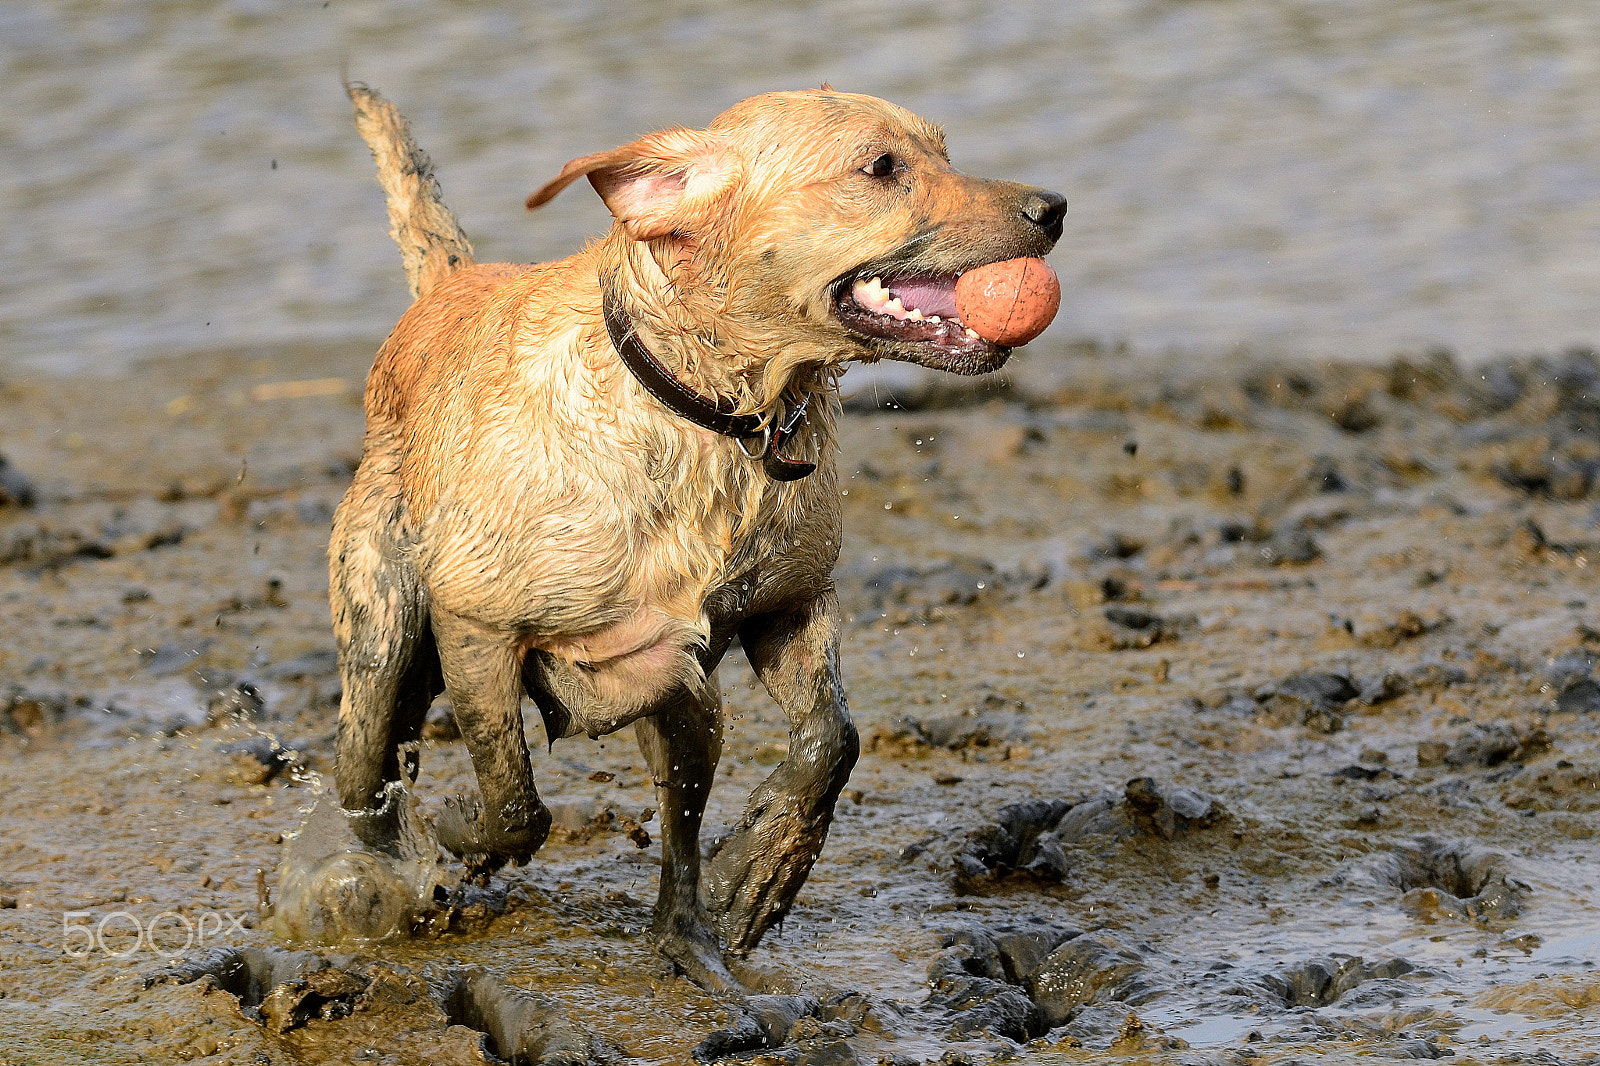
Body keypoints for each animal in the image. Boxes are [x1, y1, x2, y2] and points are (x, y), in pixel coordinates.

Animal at [332, 83, 1062, 985]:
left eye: (944, 151)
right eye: (881, 167)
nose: (1053, 207)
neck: (710, 413)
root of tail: (445, 288)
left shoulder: (790, 604)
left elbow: (832, 739)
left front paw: (762, 869)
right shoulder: (477, 625)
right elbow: (513, 799)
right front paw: (457, 828)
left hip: (690, 708)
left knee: (679, 836)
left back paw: (692, 942)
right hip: (381, 624)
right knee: (365, 769)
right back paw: (371, 870)